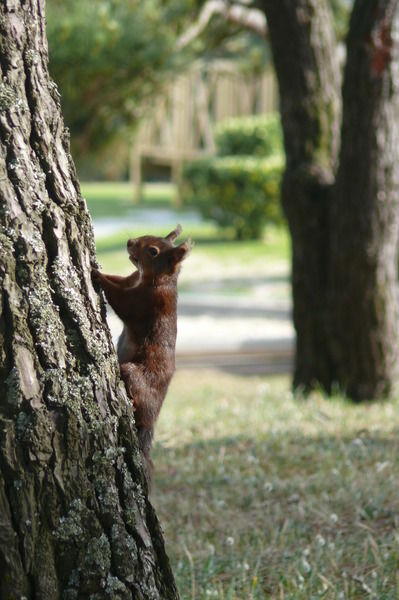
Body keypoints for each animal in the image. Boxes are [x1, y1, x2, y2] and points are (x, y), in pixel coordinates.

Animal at [91, 225, 191, 482]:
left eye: (153, 251)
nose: (129, 242)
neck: (153, 279)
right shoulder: (130, 279)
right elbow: (120, 280)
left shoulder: (145, 303)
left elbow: (120, 300)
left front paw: (97, 275)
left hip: (136, 376)